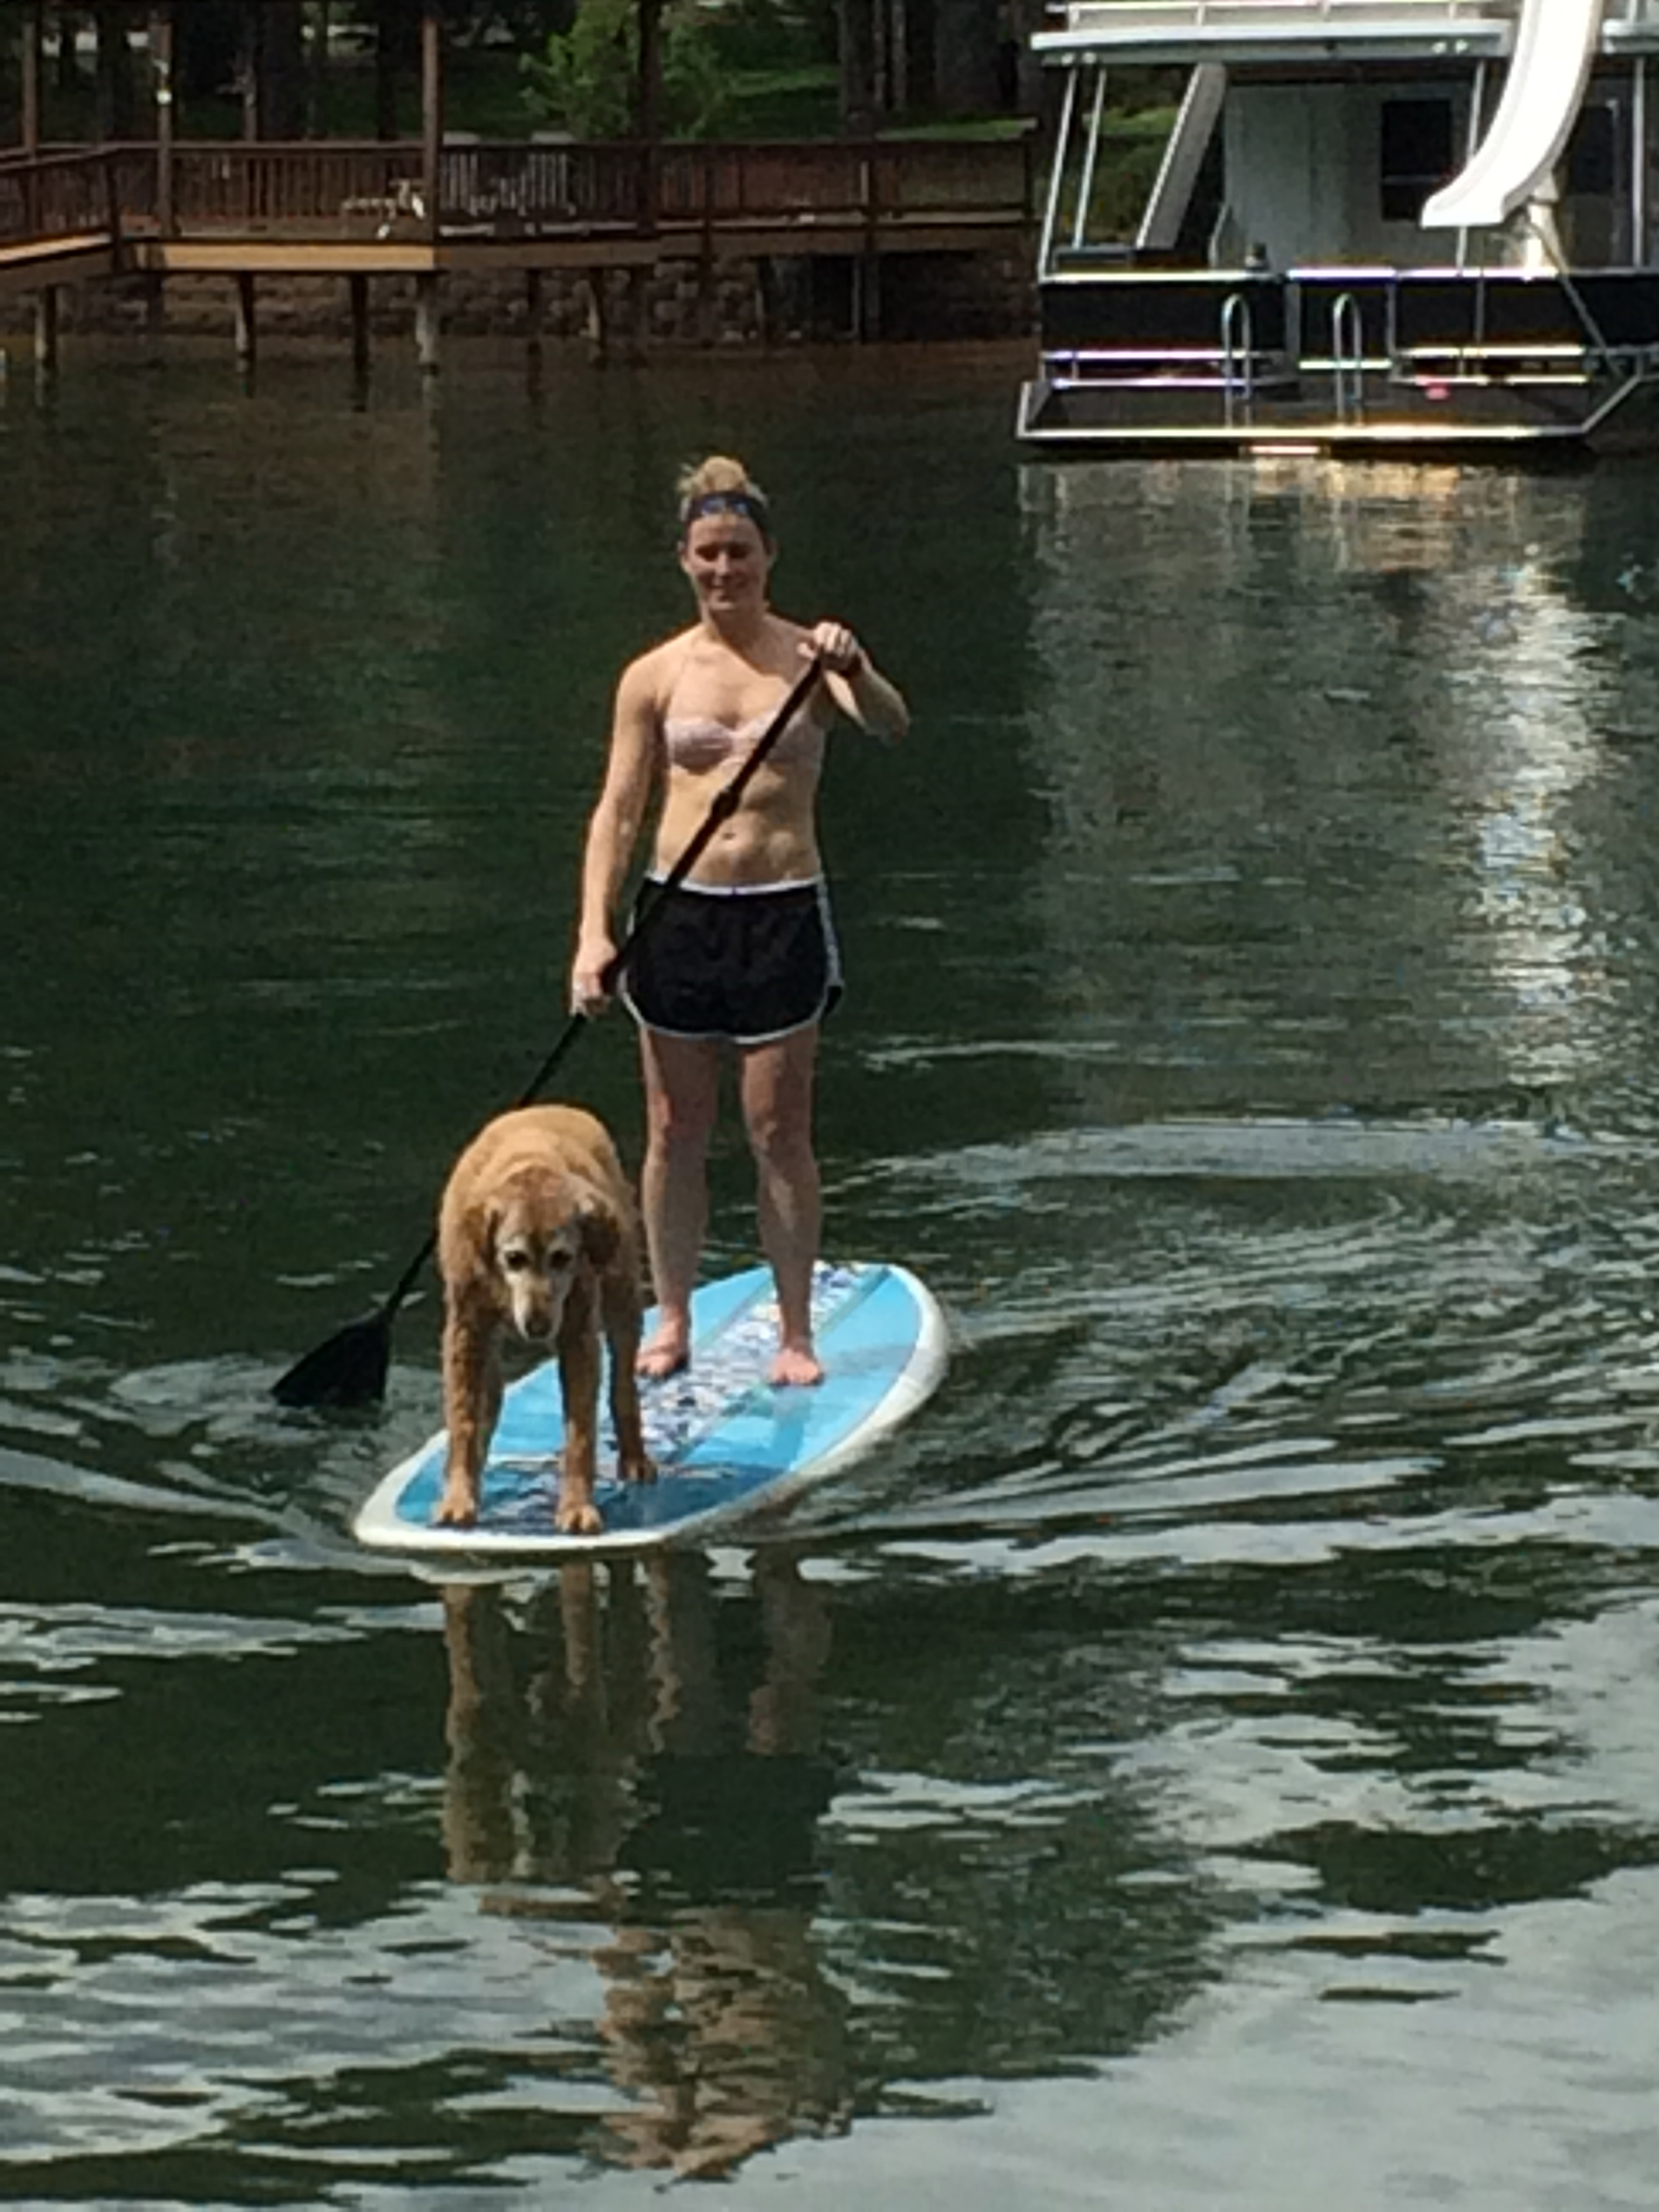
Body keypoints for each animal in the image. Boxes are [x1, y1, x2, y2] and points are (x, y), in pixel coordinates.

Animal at [433, 1104, 655, 1534]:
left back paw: (634, 1457)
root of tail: (554, 1106)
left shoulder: (579, 1336)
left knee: (623, 1384)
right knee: (489, 1398)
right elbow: (463, 1420)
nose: (537, 1326)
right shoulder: (465, 1332)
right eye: (514, 1258)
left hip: (622, 1293)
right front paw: (459, 1496)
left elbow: (581, 1432)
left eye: (562, 1258)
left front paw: (577, 1505)